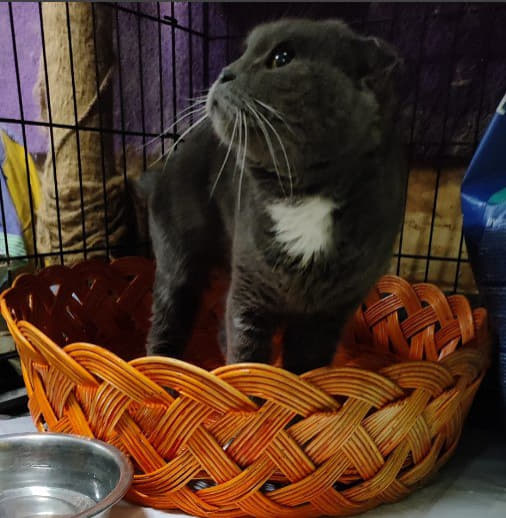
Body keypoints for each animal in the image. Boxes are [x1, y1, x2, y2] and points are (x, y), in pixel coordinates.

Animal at [139, 19, 406, 374]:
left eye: (282, 57)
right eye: (242, 53)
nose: (224, 72)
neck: (303, 195)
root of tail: (160, 172)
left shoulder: (327, 316)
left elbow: (305, 368)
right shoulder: (249, 292)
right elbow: (247, 357)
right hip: (178, 261)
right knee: (168, 315)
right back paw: (158, 365)